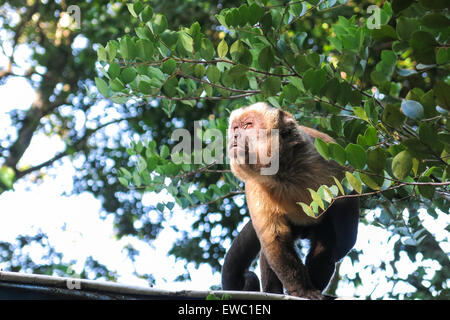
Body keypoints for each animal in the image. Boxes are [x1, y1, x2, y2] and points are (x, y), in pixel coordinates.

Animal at [221, 103, 358, 300]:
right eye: (236, 128)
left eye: (248, 125)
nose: (235, 136)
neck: (283, 171)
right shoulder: (254, 184)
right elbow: (274, 238)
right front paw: (302, 290)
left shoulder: (322, 159)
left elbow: (347, 204)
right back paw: (274, 291)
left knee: (327, 243)